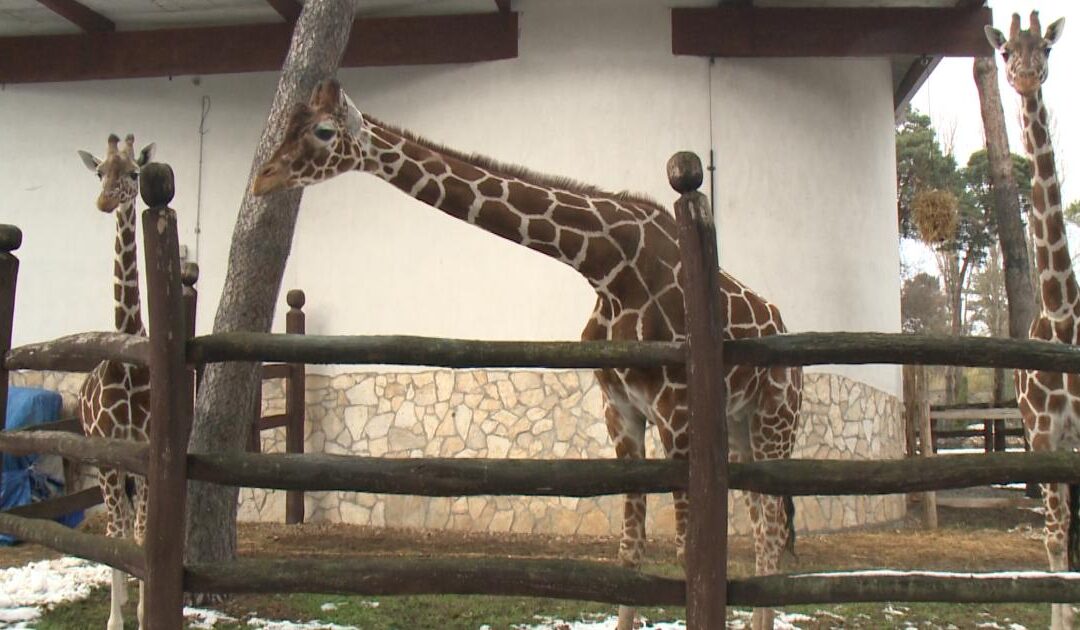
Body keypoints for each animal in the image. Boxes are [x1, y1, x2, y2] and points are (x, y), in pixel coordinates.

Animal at [252, 79, 803, 630]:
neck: (608, 267)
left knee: (772, 529)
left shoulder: (678, 412)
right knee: (762, 524)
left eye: (324, 131)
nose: (262, 178)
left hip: (775, 420)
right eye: (290, 125)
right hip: (738, 427)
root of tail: (783, 328)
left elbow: (690, 550)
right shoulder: (621, 412)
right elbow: (630, 549)